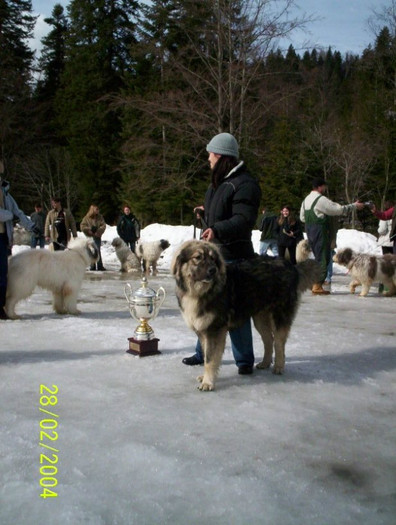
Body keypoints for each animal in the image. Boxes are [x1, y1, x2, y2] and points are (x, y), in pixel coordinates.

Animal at [172, 241, 320, 388]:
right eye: (198, 257)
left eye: (213, 259)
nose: (213, 270)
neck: (199, 292)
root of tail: (291, 267)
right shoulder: (203, 330)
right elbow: (206, 355)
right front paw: (205, 378)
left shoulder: (214, 330)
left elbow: (210, 359)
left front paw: (208, 383)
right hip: (260, 319)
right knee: (269, 339)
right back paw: (265, 363)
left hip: (279, 316)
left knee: (279, 343)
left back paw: (278, 367)